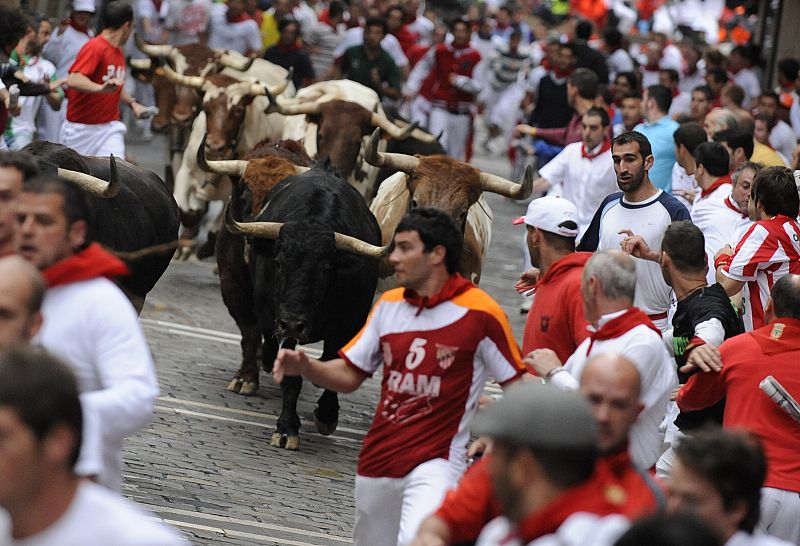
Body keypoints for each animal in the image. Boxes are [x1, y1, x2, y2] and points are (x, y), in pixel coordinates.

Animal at [217, 160, 382, 446]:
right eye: (279, 261)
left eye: (326, 268)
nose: (294, 323)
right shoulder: (280, 319)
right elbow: (291, 378)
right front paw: (286, 428)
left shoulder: (349, 324)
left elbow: (334, 361)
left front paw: (327, 415)